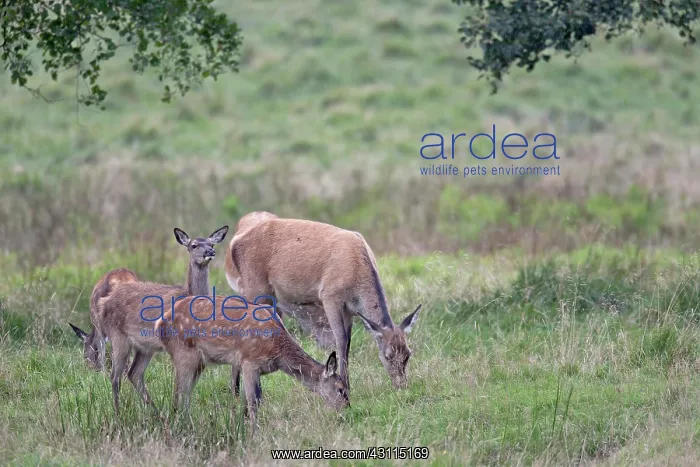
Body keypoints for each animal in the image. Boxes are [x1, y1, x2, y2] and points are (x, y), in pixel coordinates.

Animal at [90, 225, 229, 414]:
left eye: (211, 243)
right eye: (193, 245)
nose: (210, 252)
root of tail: (104, 303)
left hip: (145, 347)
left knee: (134, 373)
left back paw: (156, 413)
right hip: (118, 336)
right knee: (115, 376)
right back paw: (119, 413)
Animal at [154, 294, 349, 430]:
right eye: (341, 389)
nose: (347, 409)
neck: (277, 351)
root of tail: (160, 323)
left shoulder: (256, 369)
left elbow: (252, 401)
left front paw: (244, 426)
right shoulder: (249, 361)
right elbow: (253, 401)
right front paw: (254, 433)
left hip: (199, 362)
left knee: (185, 394)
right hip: (183, 353)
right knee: (178, 394)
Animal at [223, 211, 422, 395]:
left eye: (408, 354)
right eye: (388, 356)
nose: (402, 385)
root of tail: (234, 242)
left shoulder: (349, 310)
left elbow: (348, 343)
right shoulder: (330, 295)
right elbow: (340, 340)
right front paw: (346, 385)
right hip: (255, 287)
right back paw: (235, 391)